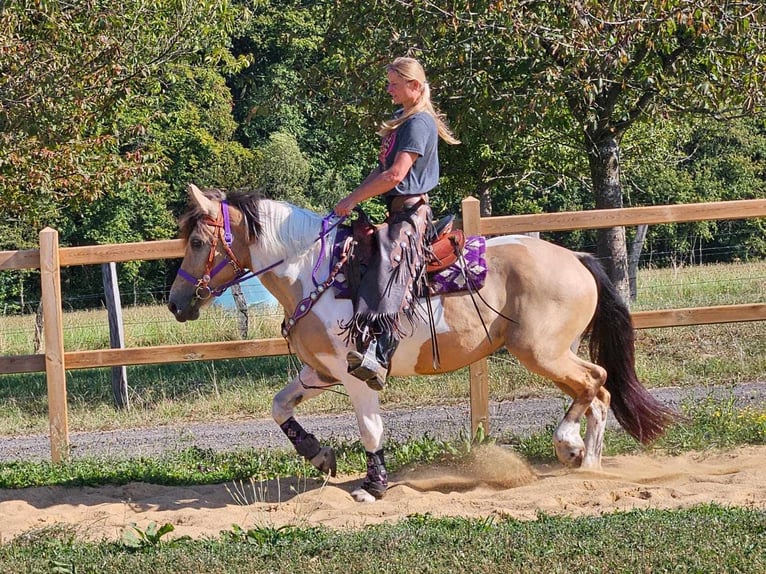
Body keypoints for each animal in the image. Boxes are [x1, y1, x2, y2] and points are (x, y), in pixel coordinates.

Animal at [168, 186, 680, 504]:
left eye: (197, 242)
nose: (176, 303)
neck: (315, 273)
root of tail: (574, 257)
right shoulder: (320, 372)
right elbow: (279, 406)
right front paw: (319, 454)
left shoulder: (357, 374)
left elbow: (371, 430)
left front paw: (372, 487)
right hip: (554, 352)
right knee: (598, 391)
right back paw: (585, 460)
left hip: (543, 353)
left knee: (595, 383)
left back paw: (573, 450)